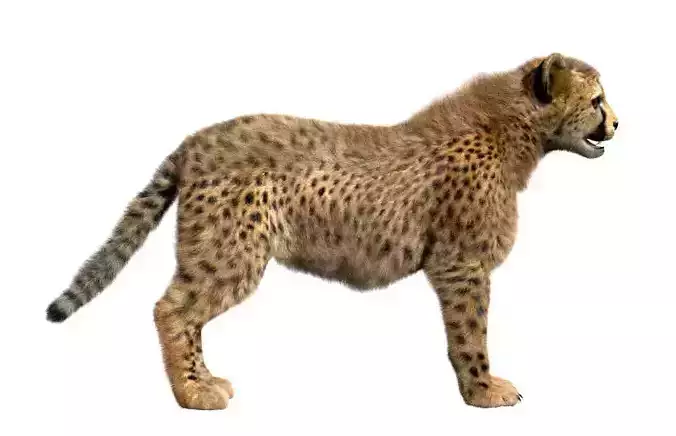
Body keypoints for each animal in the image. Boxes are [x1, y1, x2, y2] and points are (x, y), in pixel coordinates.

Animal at [46, 53, 618, 409]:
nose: (617, 124)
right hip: (231, 253)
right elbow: (470, 335)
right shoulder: (461, 265)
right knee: (172, 310)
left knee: (186, 316)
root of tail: (197, 139)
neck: (517, 129)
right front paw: (483, 392)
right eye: (596, 100)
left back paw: (205, 380)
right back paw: (192, 393)